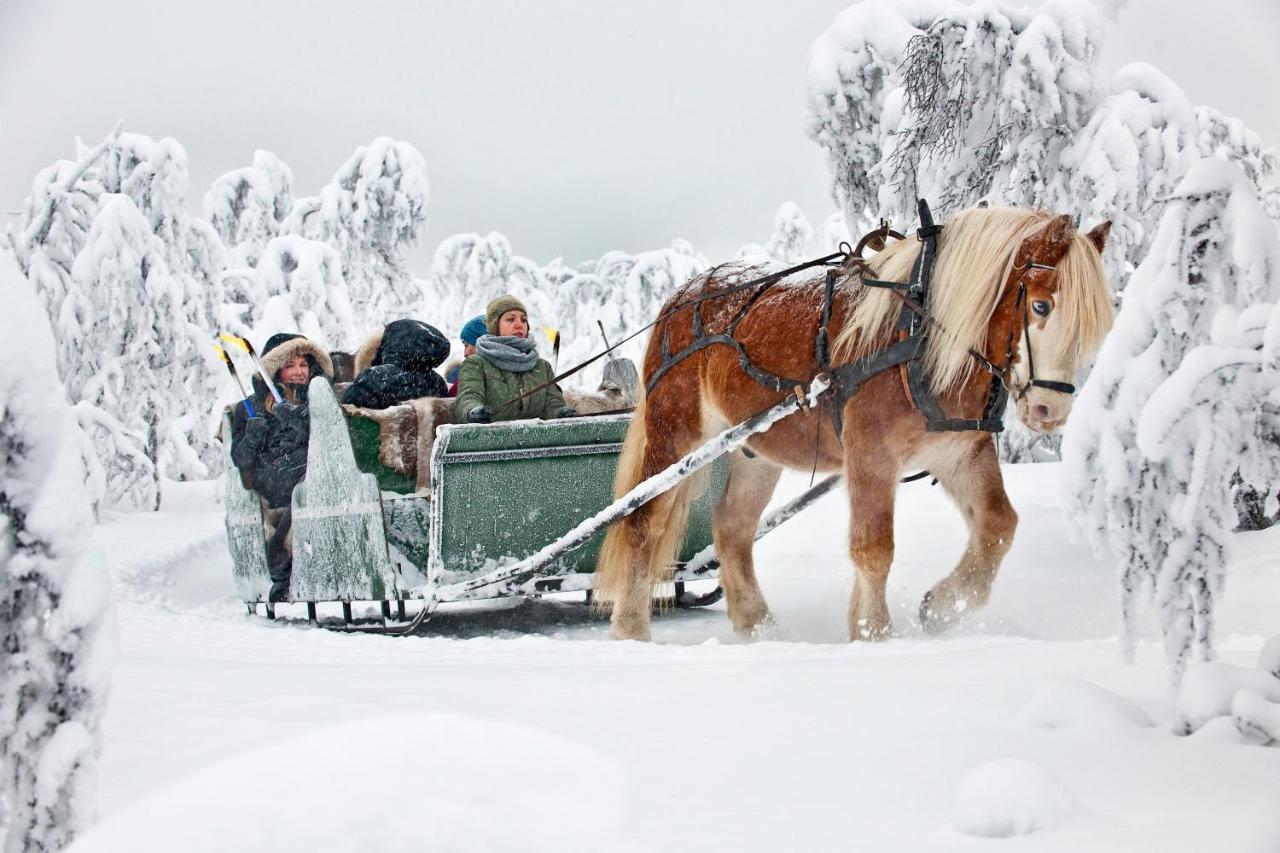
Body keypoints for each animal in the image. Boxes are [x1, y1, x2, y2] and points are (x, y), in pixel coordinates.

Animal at [596, 208, 1111, 640]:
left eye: (1096, 327)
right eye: (1041, 306)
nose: (1050, 410)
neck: (920, 335)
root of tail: (682, 298)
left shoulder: (959, 452)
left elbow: (998, 526)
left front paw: (942, 607)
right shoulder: (870, 454)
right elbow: (874, 547)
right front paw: (873, 633)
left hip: (754, 450)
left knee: (732, 528)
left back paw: (758, 624)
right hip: (676, 435)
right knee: (644, 521)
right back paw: (632, 629)